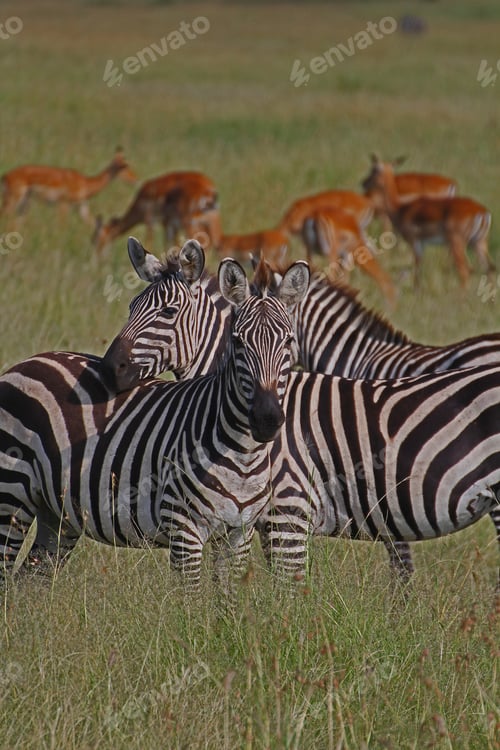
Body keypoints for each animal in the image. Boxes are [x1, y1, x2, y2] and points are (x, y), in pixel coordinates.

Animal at [0, 241, 310, 593]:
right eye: (237, 342)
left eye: (289, 342)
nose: (267, 418)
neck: (243, 451)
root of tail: (27, 363)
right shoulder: (188, 528)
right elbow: (192, 601)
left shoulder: (244, 532)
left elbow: (234, 600)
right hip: (11, 495)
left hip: (56, 513)